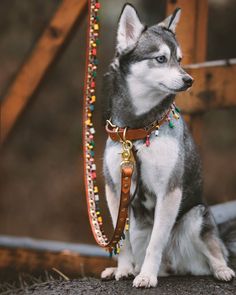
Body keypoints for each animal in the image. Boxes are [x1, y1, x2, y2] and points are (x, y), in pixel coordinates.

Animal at [100, 3, 235, 288]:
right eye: (161, 59)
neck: (139, 129)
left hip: (197, 217)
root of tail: (174, 265)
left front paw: (146, 276)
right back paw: (127, 269)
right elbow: (122, 241)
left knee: (215, 250)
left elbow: (156, 243)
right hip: (140, 227)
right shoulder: (115, 189)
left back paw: (221, 270)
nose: (189, 80)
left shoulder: (169, 191)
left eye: (180, 59)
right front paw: (123, 270)